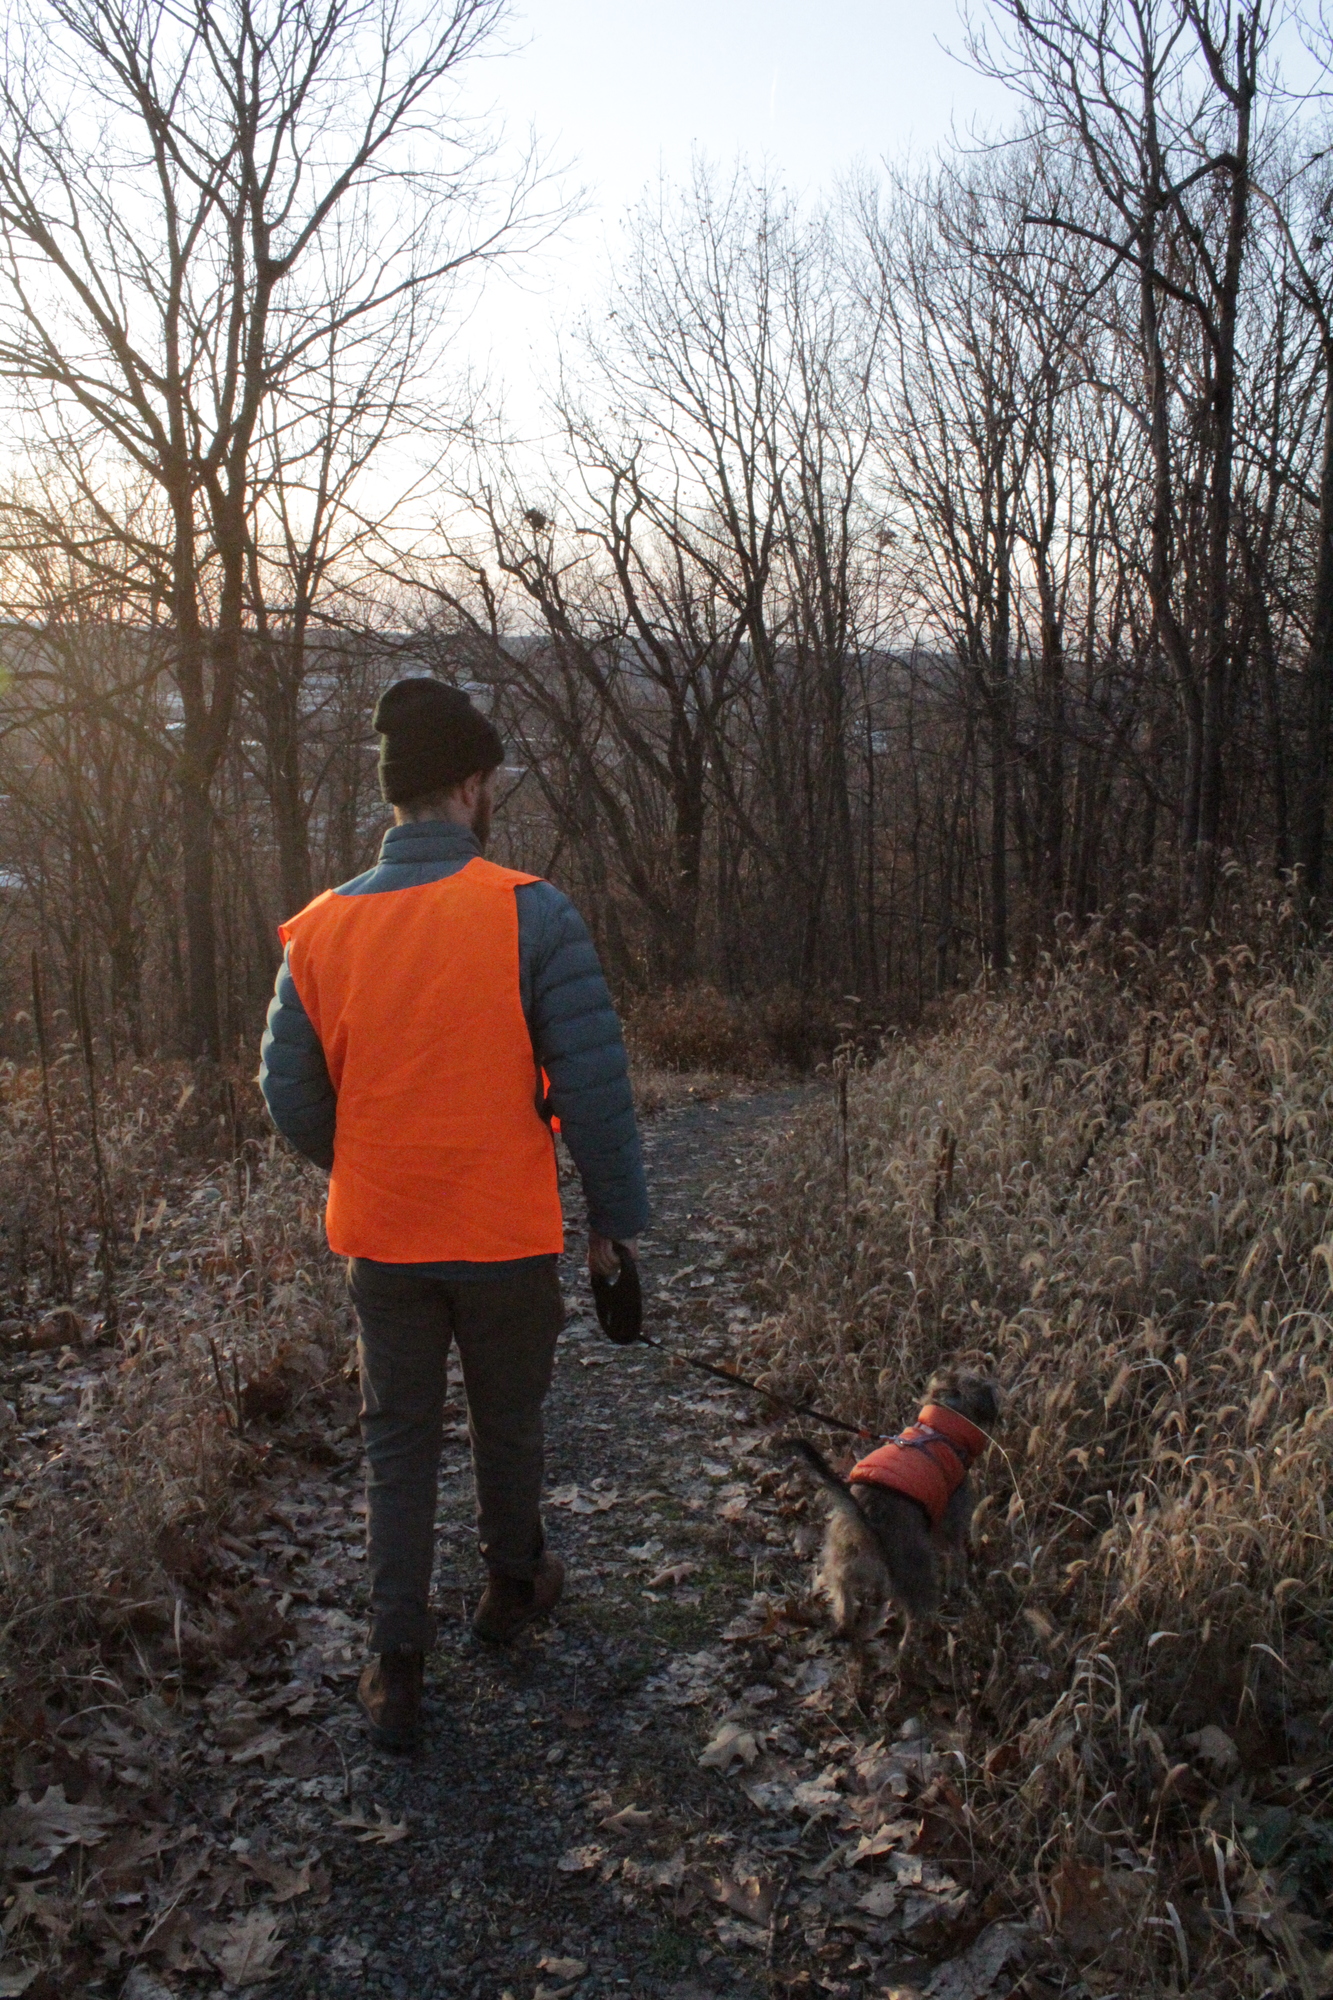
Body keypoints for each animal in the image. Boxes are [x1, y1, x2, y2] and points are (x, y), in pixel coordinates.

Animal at [784, 1376, 992, 1640]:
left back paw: (844, 1625)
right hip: (916, 1572)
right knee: (916, 1618)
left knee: (843, 1596)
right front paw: (958, 1583)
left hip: (841, 1564)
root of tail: (865, 1524)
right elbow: (957, 1555)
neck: (937, 1430)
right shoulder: (951, 1520)